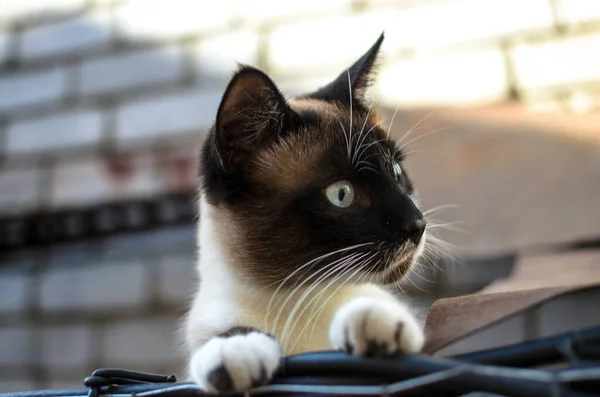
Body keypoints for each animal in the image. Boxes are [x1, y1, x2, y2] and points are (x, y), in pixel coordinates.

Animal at [186, 33, 426, 390]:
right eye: (341, 194)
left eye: (397, 173)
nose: (417, 225)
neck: (302, 302)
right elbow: (225, 334)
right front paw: (235, 350)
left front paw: (371, 321)